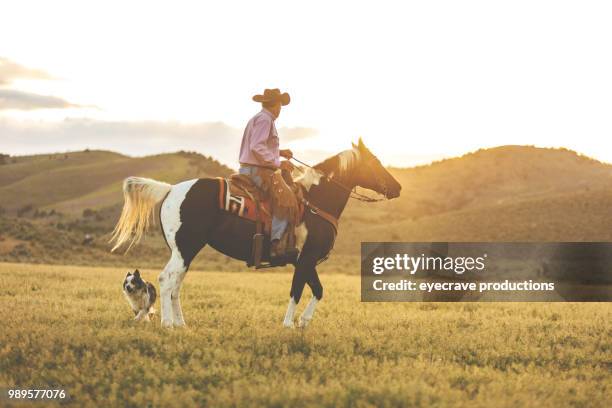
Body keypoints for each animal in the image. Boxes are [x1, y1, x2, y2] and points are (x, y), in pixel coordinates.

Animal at [110, 139, 402, 328]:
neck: (314, 202)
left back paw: (181, 324)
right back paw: (168, 323)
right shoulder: (306, 259)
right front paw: (288, 325)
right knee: (166, 280)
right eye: (375, 162)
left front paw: (304, 322)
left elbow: (318, 290)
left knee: (175, 284)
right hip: (185, 248)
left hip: (184, 251)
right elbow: (297, 290)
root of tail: (171, 189)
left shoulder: (305, 260)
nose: (398, 187)